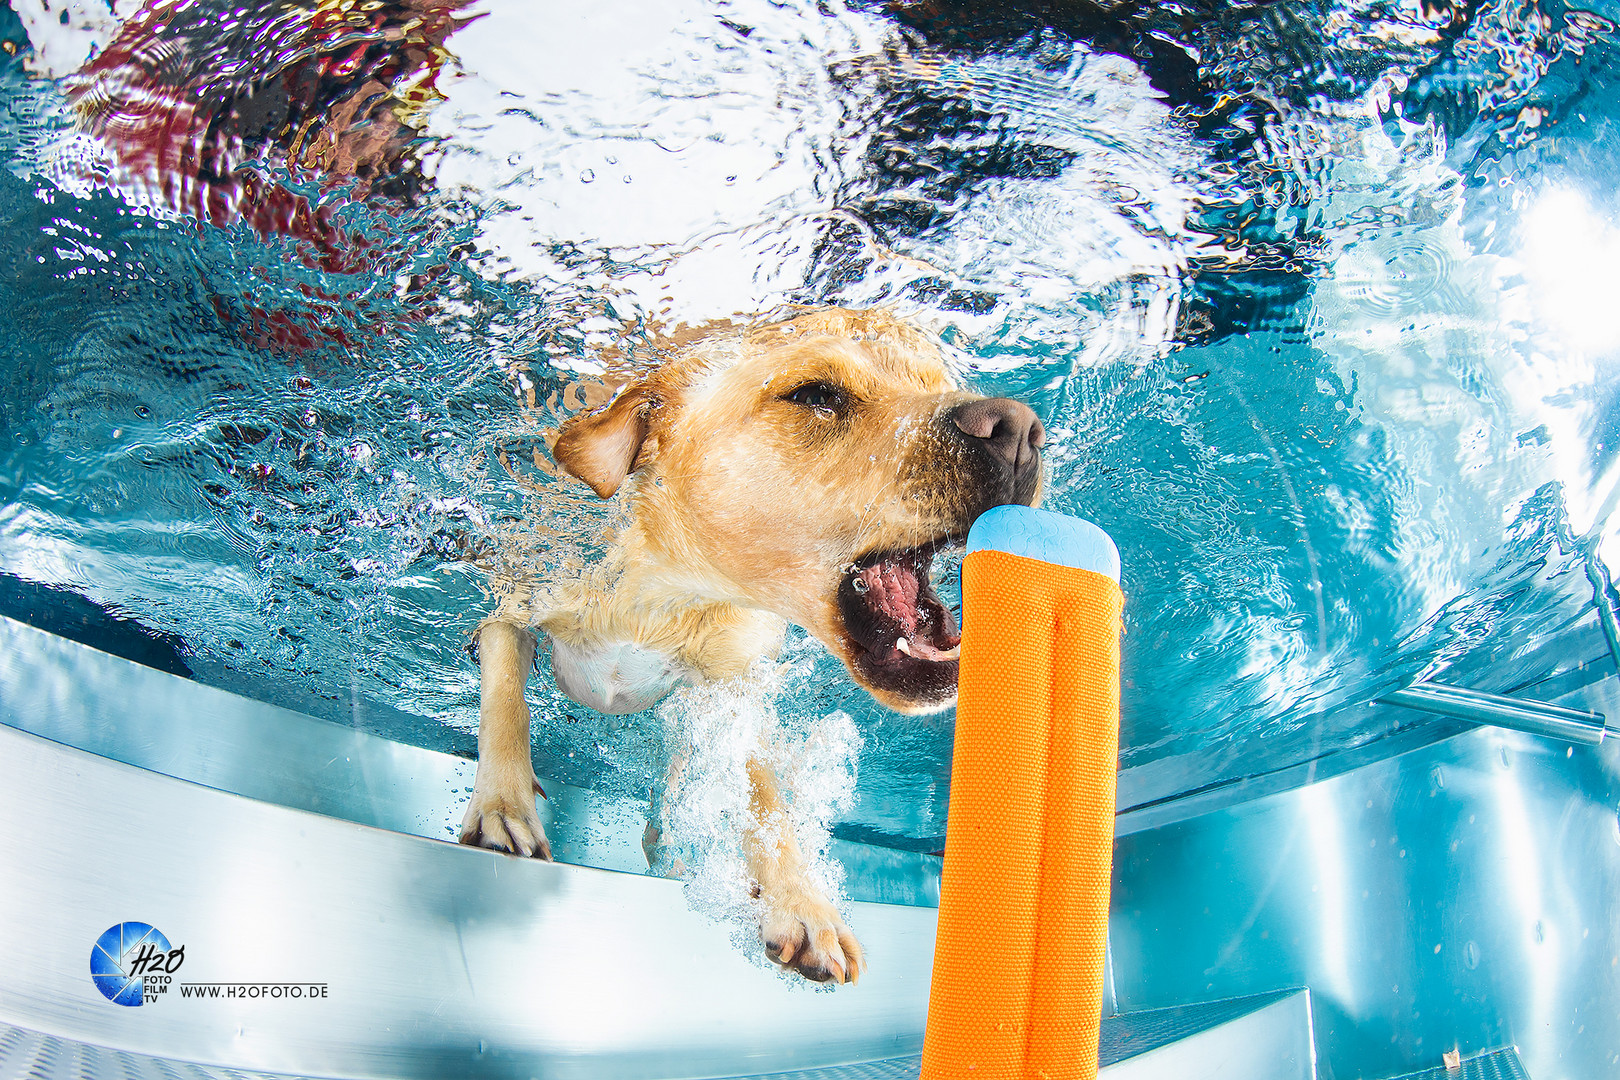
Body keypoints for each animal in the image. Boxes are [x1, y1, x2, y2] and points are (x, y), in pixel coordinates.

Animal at [460, 307, 1036, 984]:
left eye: (941, 381)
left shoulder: (737, 685)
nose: (1022, 429)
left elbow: (766, 802)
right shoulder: (513, 596)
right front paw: (503, 805)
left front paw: (802, 903)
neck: (669, 592)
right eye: (815, 395)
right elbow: (506, 699)